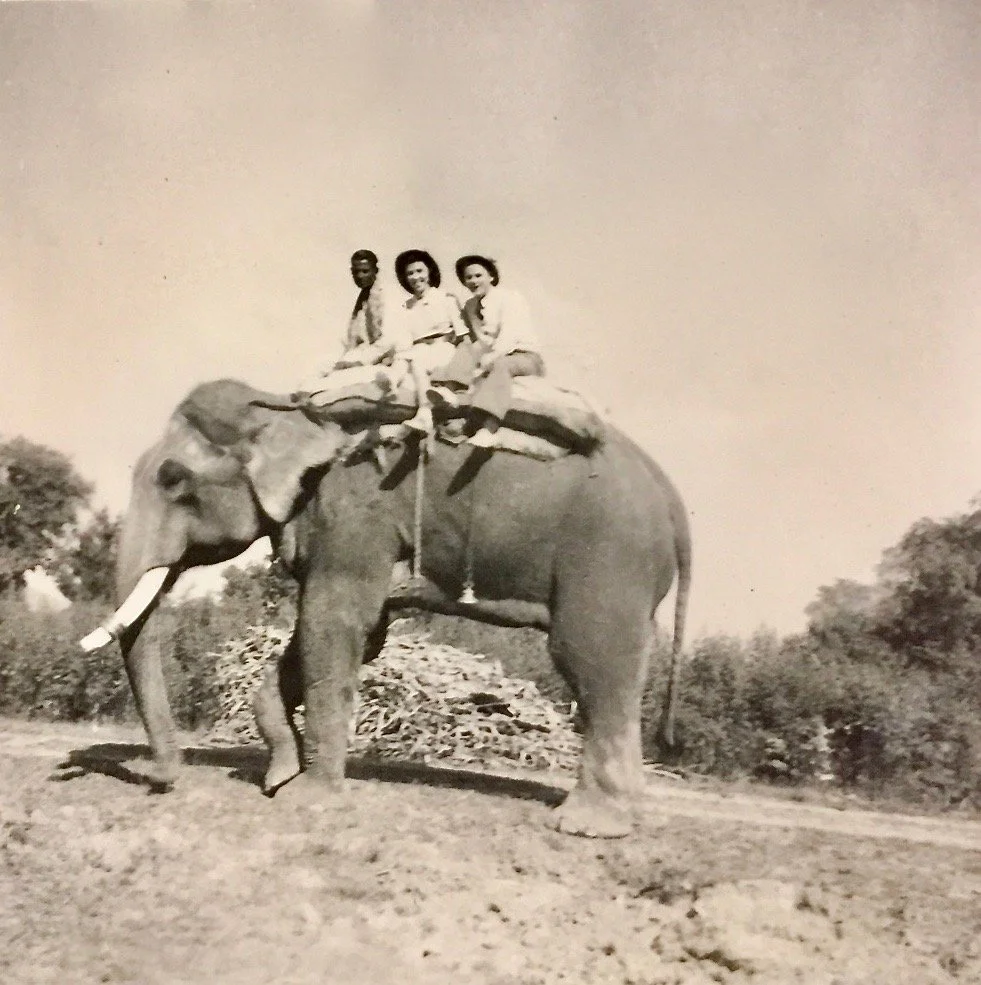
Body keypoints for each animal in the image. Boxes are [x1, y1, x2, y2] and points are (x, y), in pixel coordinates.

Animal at [82, 378, 691, 838]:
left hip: (608, 558)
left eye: (172, 479)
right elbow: (348, 634)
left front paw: (306, 800)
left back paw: (590, 825)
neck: (288, 406)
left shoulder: (354, 511)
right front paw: (279, 777)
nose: (163, 779)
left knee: (588, 658)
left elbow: (331, 621)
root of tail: (672, 497)